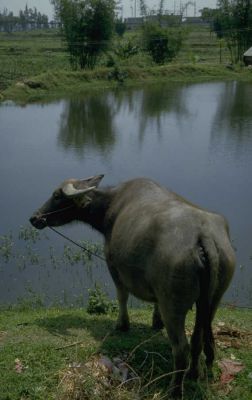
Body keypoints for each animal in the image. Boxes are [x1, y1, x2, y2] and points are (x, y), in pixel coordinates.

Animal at [30, 175, 236, 396]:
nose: (34, 218)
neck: (111, 205)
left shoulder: (112, 265)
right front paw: (156, 321)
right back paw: (193, 373)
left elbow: (122, 296)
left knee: (181, 349)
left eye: (56, 195)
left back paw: (174, 389)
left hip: (173, 304)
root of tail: (204, 235)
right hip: (213, 299)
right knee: (198, 338)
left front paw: (122, 324)